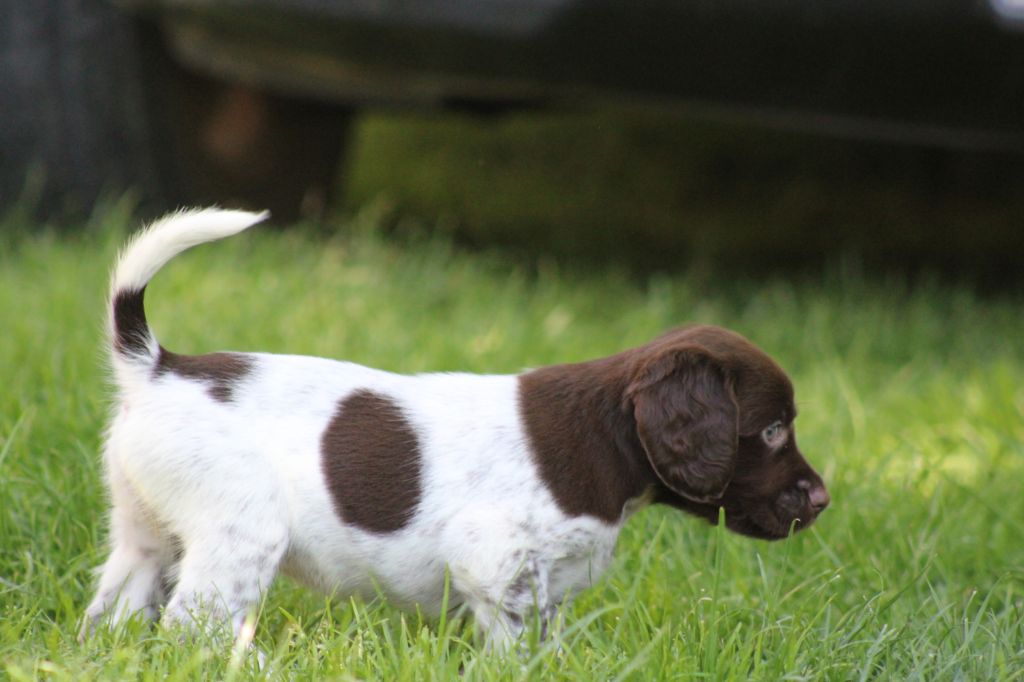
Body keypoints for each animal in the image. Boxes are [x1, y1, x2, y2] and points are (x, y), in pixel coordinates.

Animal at [83, 206, 827, 647]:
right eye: (770, 431)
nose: (822, 499)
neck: (604, 446)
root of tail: (157, 365)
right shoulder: (497, 567)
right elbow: (514, 649)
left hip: (144, 534)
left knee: (119, 611)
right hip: (241, 529)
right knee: (195, 628)